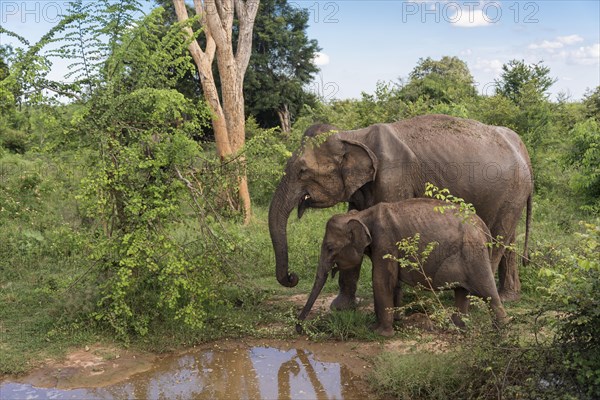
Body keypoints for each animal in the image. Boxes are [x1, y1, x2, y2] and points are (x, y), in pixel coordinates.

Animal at [270, 114, 532, 304]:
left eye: (302, 171)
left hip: (512, 190)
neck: (353, 135)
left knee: (497, 239)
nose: (293, 277)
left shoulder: (392, 177)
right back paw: (509, 297)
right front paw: (341, 308)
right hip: (512, 195)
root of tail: (523, 151)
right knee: (508, 239)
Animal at [296, 198, 506, 336]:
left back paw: (500, 334)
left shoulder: (385, 240)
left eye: (330, 248)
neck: (363, 215)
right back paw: (456, 329)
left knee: (487, 292)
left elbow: (381, 280)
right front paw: (395, 321)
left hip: (474, 253)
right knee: (461, 291)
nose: (299, 329)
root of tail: (484, 228)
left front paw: (379, 333)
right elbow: (393, 281)